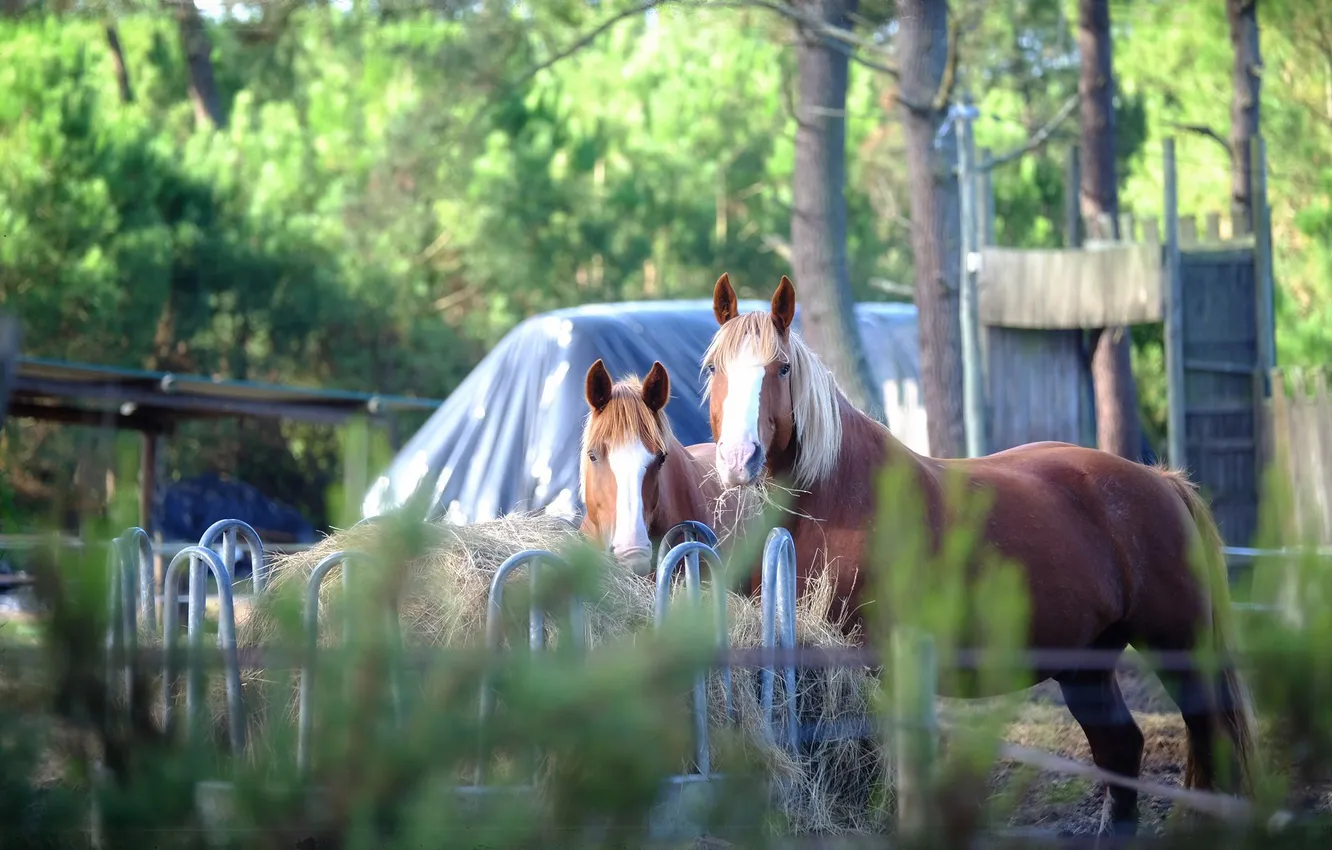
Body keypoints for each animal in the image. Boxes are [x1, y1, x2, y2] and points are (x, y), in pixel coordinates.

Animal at [700, 272, 1258, 835]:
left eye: (782, 368)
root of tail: (1163, 482)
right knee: (1121, 750)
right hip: (1085, 666)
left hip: (1181, 650)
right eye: (714, 368)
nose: (739, 459)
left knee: (1210, 741)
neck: (837, 496)